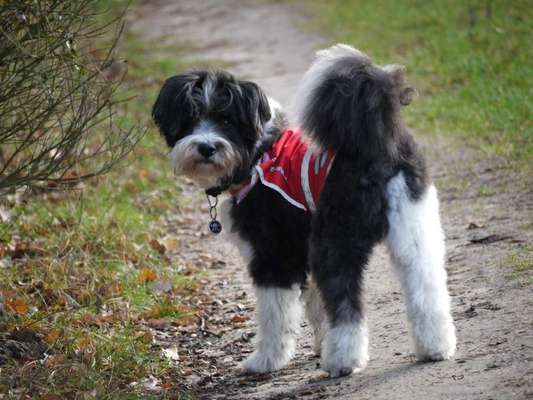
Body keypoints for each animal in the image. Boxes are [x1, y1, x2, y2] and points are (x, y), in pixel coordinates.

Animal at [152, 44, 456, 378]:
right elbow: (315, 304)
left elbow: (277, 314)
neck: (257, 154)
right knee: (425, 285)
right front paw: (319, 345)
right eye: (191, 119)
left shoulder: (273, 254)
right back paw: (436, 347)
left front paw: (266, 361)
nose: (206, 147)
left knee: (346, 303)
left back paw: (343, 360)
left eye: (227, 122)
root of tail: (375, 145)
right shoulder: (300, 243)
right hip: (413, 227)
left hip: (334, 238)